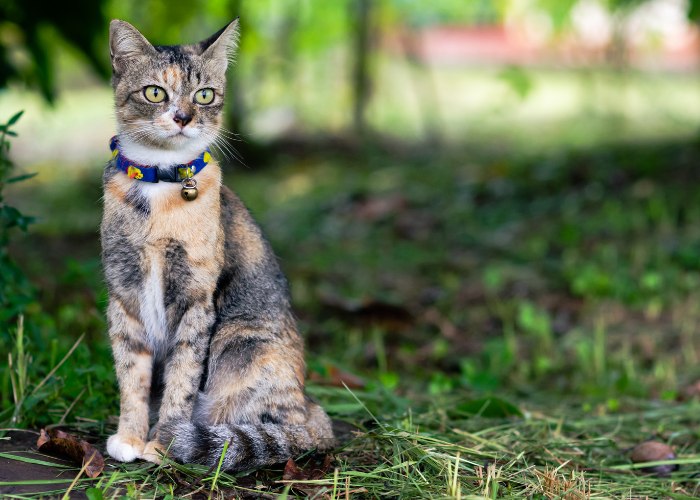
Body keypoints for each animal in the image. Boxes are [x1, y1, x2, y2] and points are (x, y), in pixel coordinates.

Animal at [100, 19, 336, 470]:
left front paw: (163, 442)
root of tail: (311, 409)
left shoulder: (196, 300)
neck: (159, 185)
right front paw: (131, 436)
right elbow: (130, 373)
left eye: (204, 94)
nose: (183, 116)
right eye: (155, 92)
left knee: (275, 428)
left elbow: (182, 378)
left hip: (240, 340)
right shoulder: (123, 295)